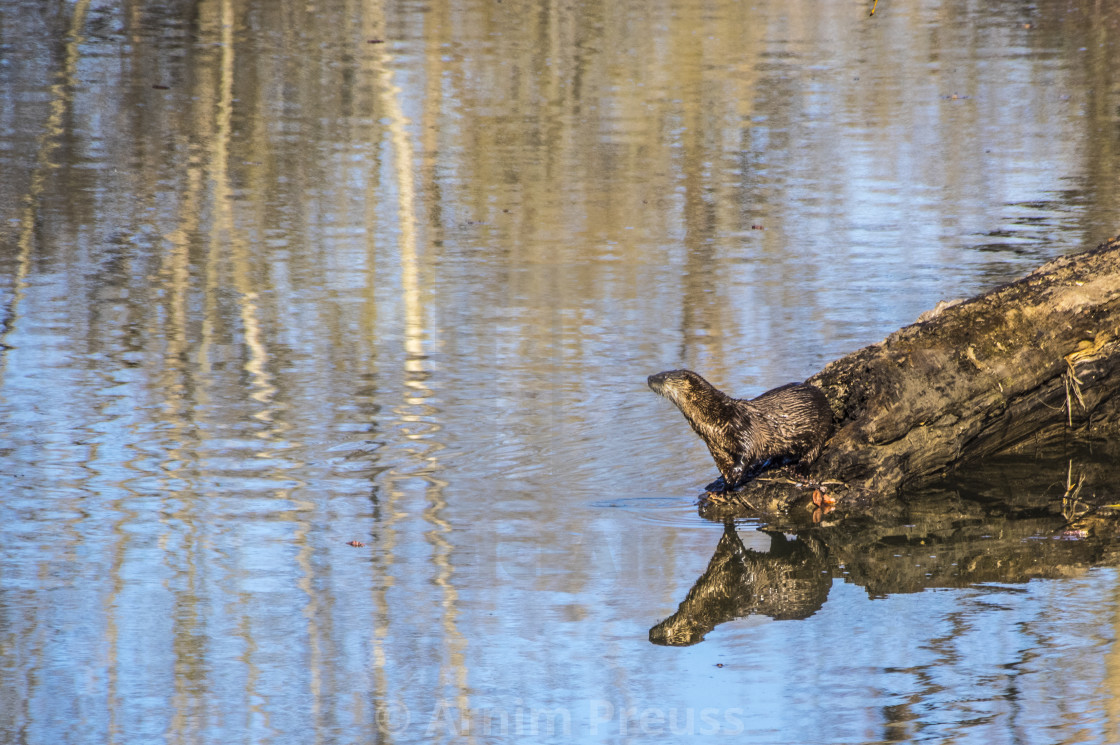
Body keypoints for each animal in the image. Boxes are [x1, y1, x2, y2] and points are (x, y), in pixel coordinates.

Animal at [649, 369, 833, 490]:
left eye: (664, 376)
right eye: (660, 371)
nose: (649, 377)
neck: (713, 422)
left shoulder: (744, 428)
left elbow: (748, 451)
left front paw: (734, 475)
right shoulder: (714, 445)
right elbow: (722, 465)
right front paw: (724, 485)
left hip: (821, 426)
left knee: (814, 450)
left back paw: (799, 469)